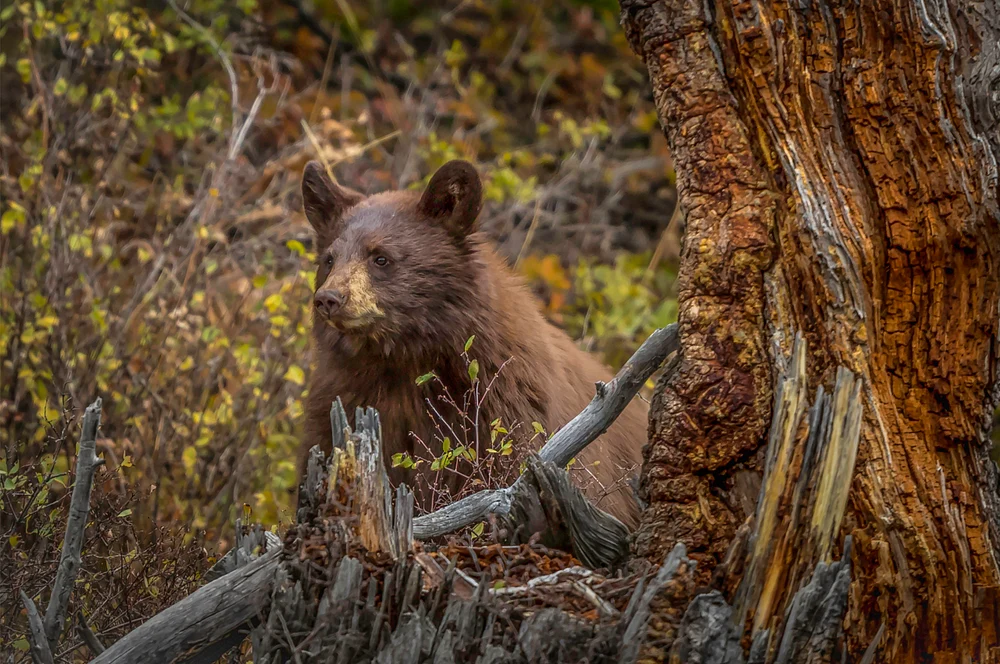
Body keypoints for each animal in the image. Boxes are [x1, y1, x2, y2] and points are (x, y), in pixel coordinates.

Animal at [300, 159, 649, 528]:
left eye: (380, 257)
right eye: (329, 259)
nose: (329, 298)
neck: (400, 366)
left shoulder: (512, 414)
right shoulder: (340, 404)